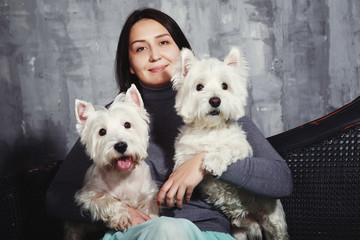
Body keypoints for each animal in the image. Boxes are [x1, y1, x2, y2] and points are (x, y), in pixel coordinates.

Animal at [67, 84, 158, 238]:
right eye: (102, 132)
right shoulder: (88, 194)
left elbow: (150, 210)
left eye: (127, 124)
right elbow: (106, 200)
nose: (121, 146)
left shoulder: (148, 196)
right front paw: (121, 217)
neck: (124, 175)